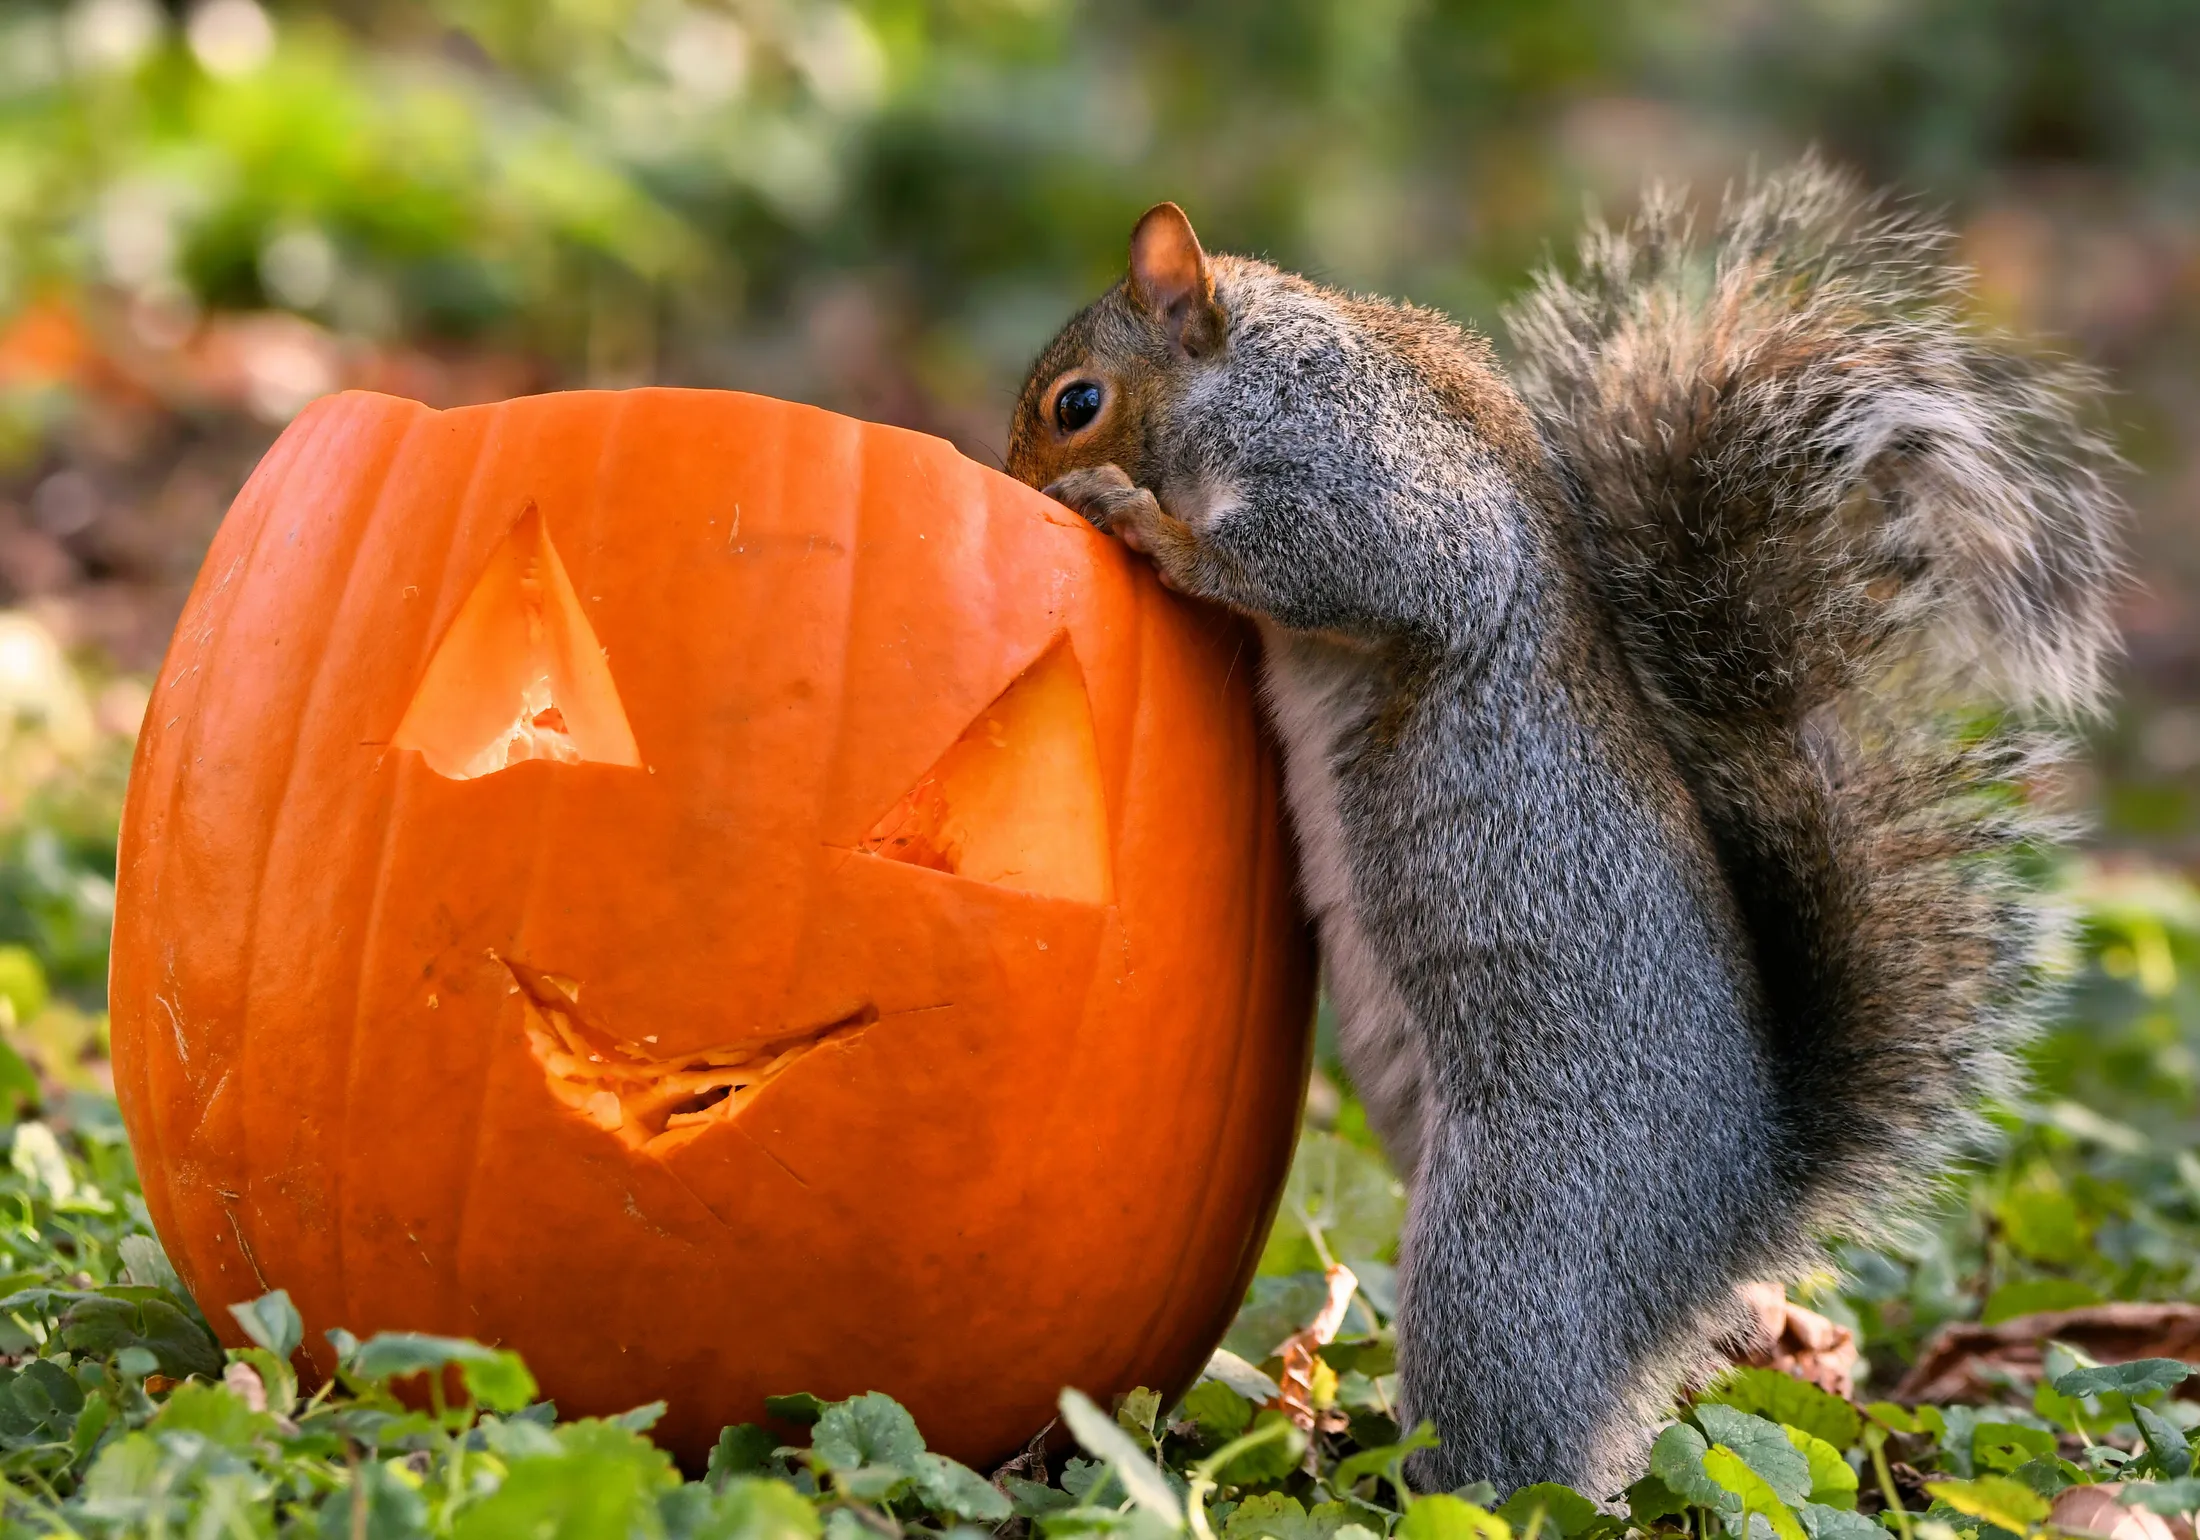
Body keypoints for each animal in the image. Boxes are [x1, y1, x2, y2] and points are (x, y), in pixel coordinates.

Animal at [1004, 159, 2123, 1496]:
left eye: (1077, 402)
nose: (1020, 489)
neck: (1263, 361)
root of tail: (1727, 1222)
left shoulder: (1359, 474)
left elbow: (1354, 567)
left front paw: (1136, 516)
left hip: (1519, 1236)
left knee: (1520, 1461)